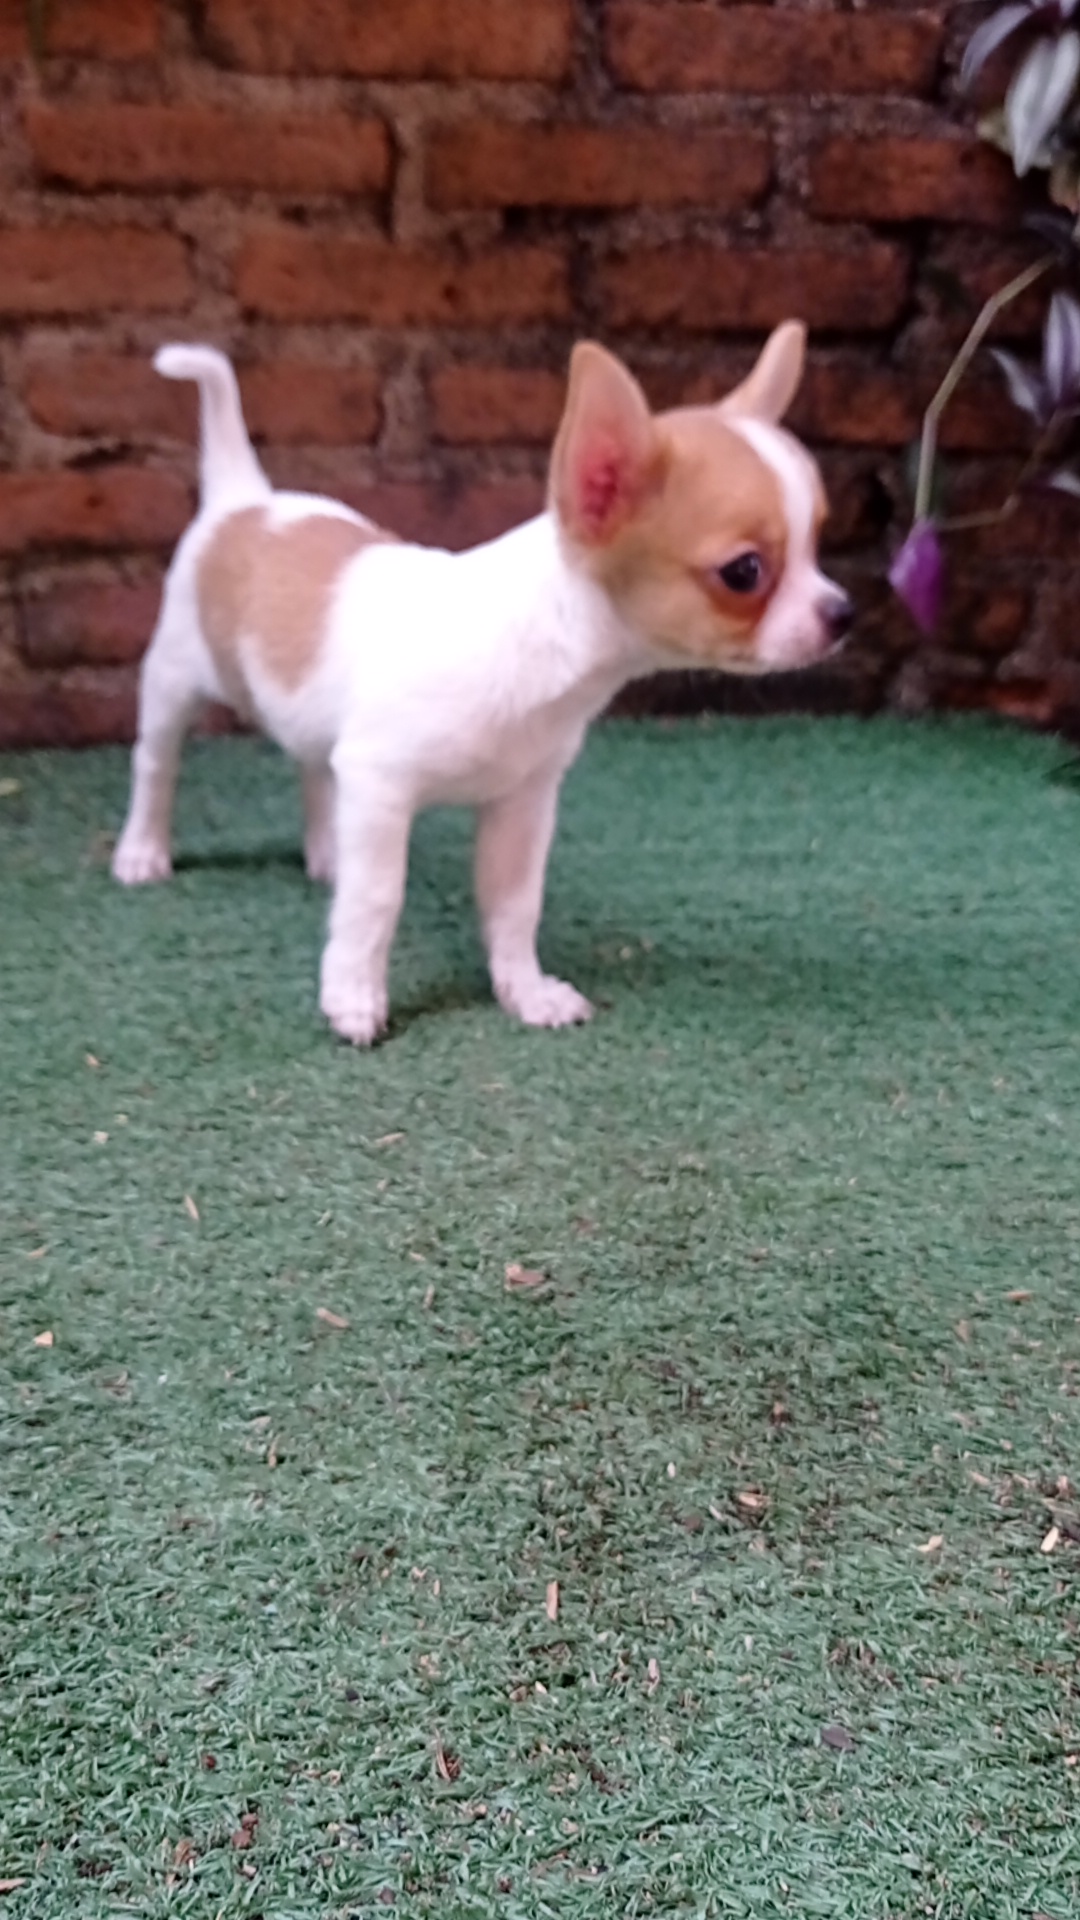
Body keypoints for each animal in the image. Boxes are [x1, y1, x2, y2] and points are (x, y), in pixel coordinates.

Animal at [112, 324, 851, 1044]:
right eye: (744, 572)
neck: (535, 647)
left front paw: (524, 991)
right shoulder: (380, 787)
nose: (844, 613)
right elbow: (376, 899)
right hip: (173, 680)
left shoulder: (519, 802)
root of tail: (245, 500)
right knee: (156, 765)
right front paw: (353, 996)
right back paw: (143, 851)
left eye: (820, 541)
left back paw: (326, 854)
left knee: (312, 769)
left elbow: (515, 904)